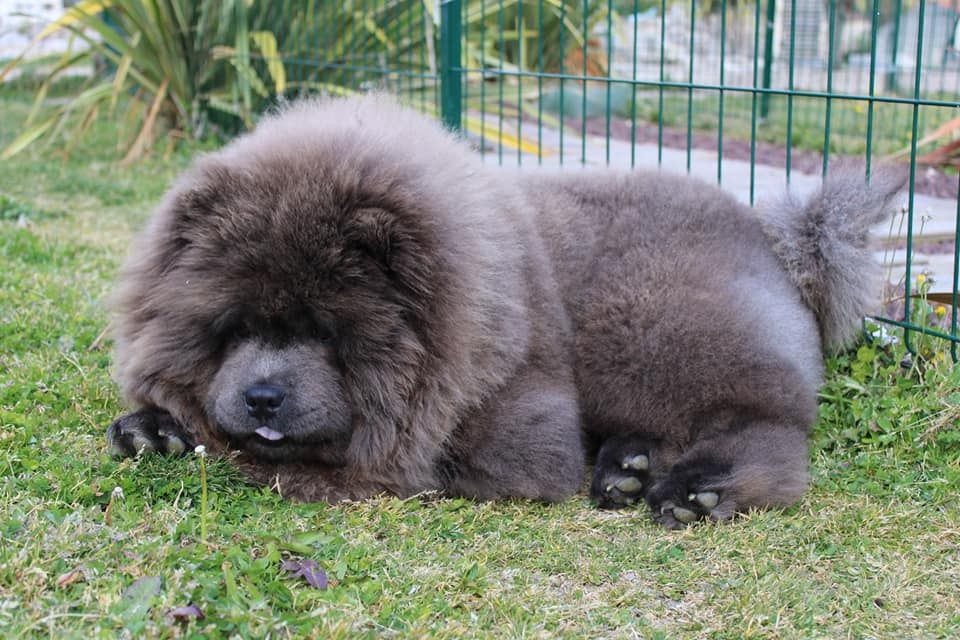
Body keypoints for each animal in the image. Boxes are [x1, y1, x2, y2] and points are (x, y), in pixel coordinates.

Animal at [105, 95, 900, 524]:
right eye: (235, 328)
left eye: (324, 334)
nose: (263, 396)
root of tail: (772, 239)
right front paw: (153, 428)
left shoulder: (518, 433)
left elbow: (371, 461)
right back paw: (625, 467)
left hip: (647, 329)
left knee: (763, 430)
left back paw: (693, 490)